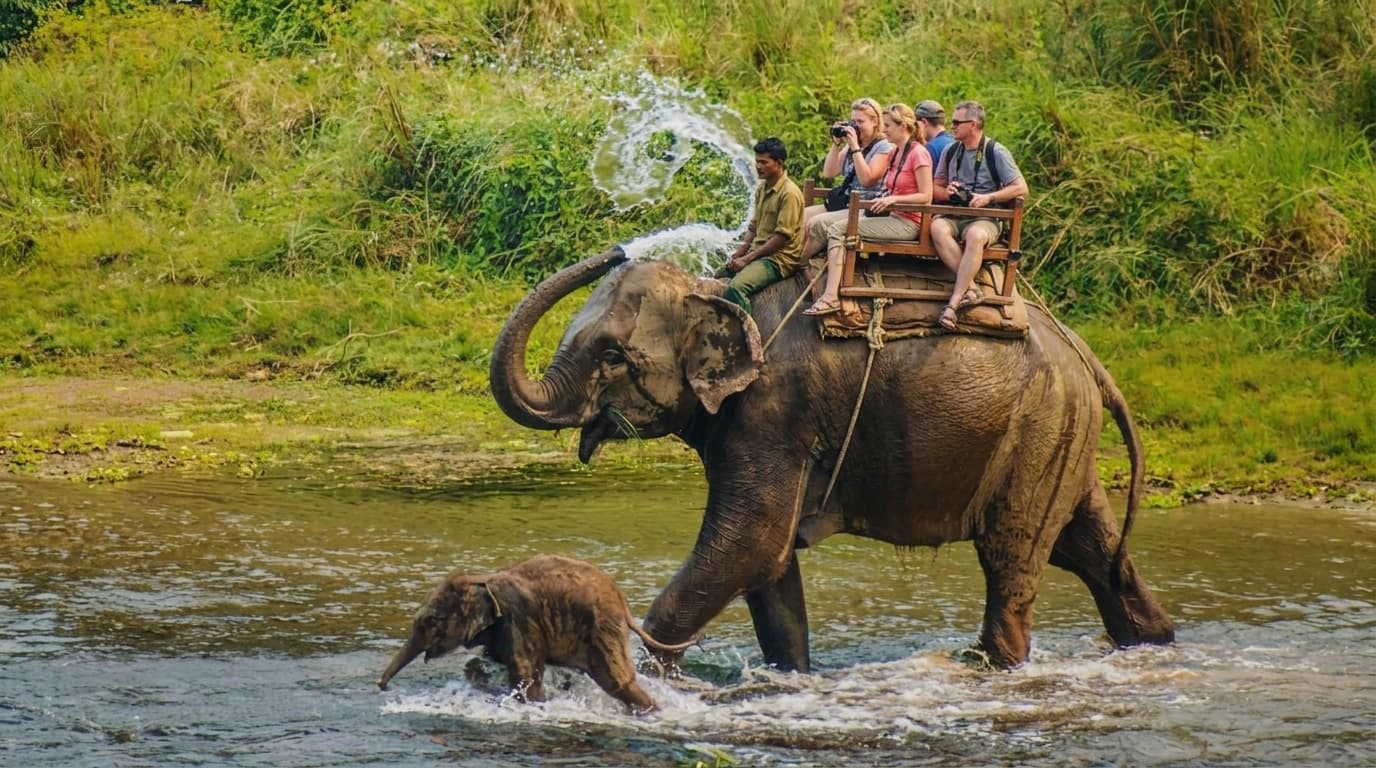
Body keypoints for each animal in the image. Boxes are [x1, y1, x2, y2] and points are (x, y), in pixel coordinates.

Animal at [376, 554, 694, 712]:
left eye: (432, 621)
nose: (381, 687)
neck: (481, 579)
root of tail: (622, 599)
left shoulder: (518, 621)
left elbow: (525, 675)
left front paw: (533, 704)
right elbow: (484, 662)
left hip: (603, 628)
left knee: (616, 682)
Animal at [488, 247, 1175, 671]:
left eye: (611, 355)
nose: (616, 249)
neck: (716, 292)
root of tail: (1083, 351)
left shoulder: (774, 410)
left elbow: (750, 544)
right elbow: (768, 565)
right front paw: (789, 675)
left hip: (1036, 428)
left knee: (1012, 557)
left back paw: (990, 667)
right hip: (1059, 433)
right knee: (1092, 552)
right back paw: (1153, 643)